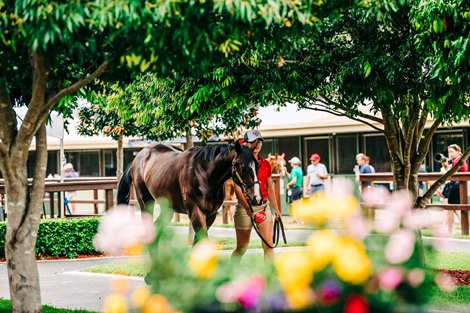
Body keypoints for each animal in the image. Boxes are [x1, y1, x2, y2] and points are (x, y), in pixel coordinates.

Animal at [119, 141, 255, 241]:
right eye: (244, 167)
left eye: (257, 165)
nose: (255, 198)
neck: (204, 173)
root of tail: (138, 157)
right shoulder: (196, 212)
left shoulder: (211, 215)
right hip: (146, 202)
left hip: (168, 208)